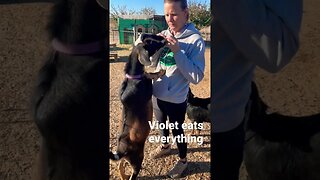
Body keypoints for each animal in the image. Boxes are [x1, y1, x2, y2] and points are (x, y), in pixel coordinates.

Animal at [109, 33, 166, 179]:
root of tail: (120, 152)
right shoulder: (148, 89)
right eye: (150, 42)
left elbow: (148, 73)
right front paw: (161, 72)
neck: (133, 78)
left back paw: (123, 176)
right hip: (137, 160)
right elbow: (151, 75)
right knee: (133, 173)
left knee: (120, 166)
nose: (164, 39)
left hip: (125, 160)